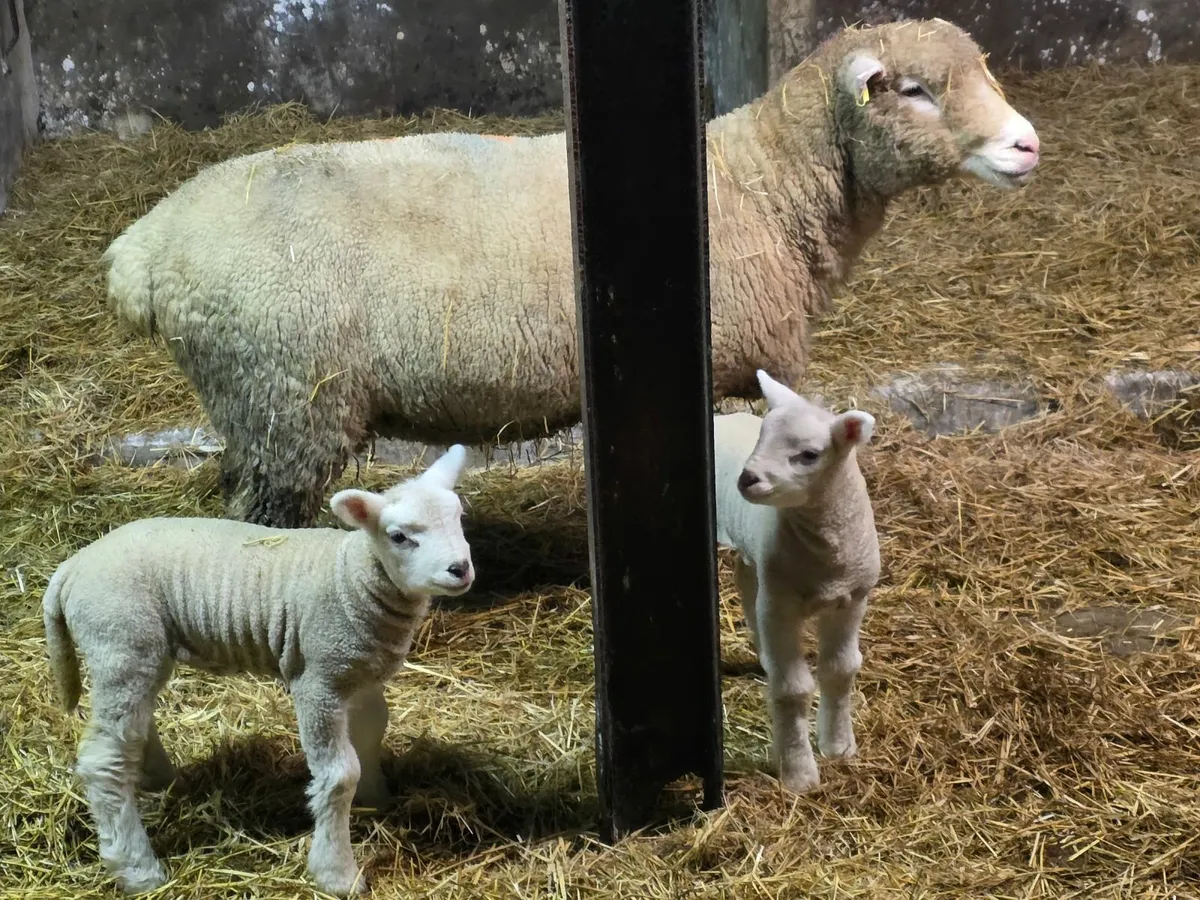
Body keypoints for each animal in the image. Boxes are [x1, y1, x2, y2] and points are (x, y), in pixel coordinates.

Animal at [41, 445, 474, 896]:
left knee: (132, 728)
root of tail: (70, 568)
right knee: (103, 760)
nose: (460, 569)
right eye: (399, 536)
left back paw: (157, 779)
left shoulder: (359, 676)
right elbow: (338, 774)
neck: (350, 575)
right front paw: (336, 872)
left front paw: (375, 800)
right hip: (119, 640)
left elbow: (370, 737)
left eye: (459, 518)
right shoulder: (319, 681)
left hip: (137, 653)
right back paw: (137, 867)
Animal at [103, 18, 1040, 528]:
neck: (763, 181)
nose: (1028, 144)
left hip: (252, 404)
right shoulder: (725, 369)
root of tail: (144, 248)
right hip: (289, 401)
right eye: (915, 90)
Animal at [713, 371, 879, 793]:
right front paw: (799, 773)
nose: (747, 479)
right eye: (762, 436)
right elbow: (792, 689)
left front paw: (839, 746)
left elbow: (840, 670)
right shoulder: (781, 607)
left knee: (746, 582)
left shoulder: (853, 599)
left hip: (758, 564)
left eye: (809, 455)